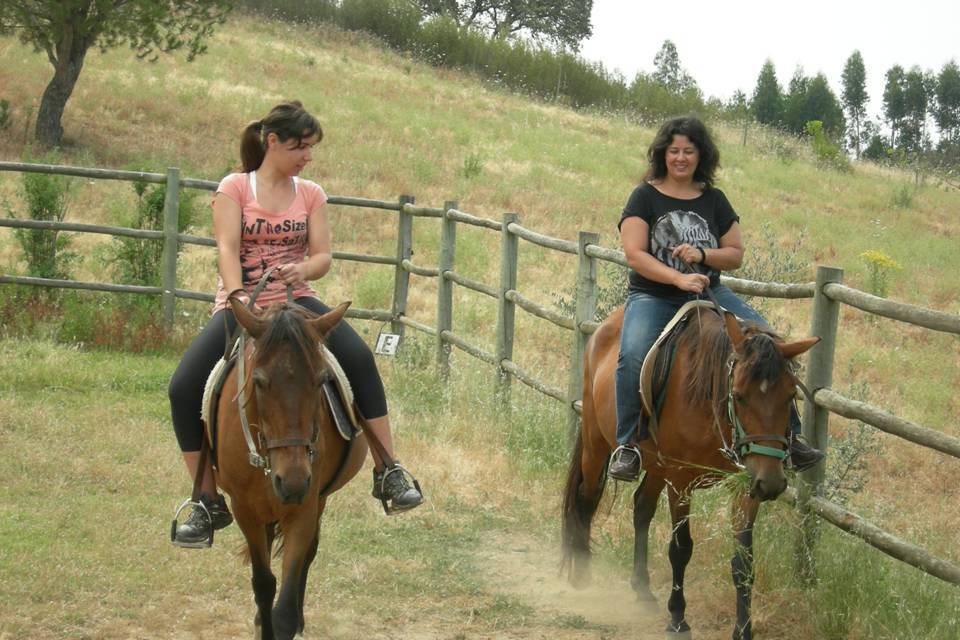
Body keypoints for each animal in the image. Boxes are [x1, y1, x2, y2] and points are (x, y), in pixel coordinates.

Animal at [215, 296, 368, 640]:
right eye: (259, 382)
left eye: (322, 380)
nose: (293, 482)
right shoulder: (244, 509)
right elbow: (263, 583)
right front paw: (262, 622)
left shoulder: (304, 508)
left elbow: (285, 602)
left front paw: (287, 621)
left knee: (308, 555)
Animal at [564, 304, 816, 640]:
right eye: (739, 395)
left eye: (790, 397)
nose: (772, 483)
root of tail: (603, 328)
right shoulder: (681, 481)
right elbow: (680, 548)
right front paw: (678, 619)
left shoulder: (746, 484)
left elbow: (743, 560)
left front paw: (743, 629)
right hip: (596, 443)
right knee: (587, 497)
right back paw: (581, 573)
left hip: (657, 465)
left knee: (641, 507)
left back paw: (642, 589)